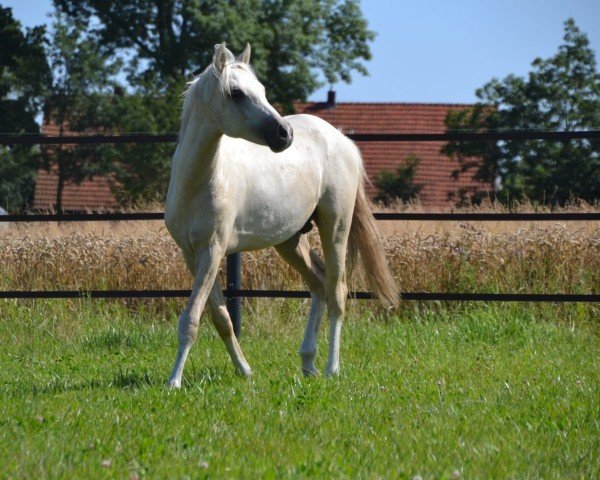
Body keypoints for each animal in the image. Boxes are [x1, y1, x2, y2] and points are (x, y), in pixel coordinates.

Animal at [165, 44, 398, 390]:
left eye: (261, 90)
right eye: (236, 93)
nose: (284, 135)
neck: (203, 180)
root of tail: (342, 140)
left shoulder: (213, 251)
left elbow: (192, 318)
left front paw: (174, 381)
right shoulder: (192, 255)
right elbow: (221, 318)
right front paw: (245, 370)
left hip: (336, 228)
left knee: (337, 292)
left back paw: (331, 368)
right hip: (290, 242)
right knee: (318, 284)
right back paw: (307, 362)